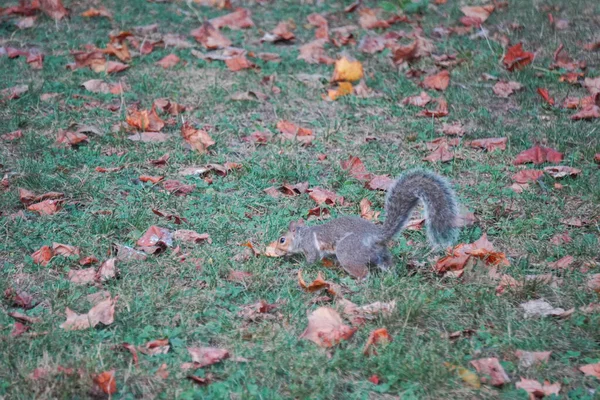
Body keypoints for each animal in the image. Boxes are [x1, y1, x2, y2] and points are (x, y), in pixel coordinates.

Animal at [274, 170, 458, 280]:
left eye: (282, 239)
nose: (275, 250)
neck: (302, 234)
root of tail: (377, 237)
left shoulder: (310, 247)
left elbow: (312, 259)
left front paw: (299, 268)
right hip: (380, 253)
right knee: (387, 264)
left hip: (347, 251)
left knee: (364, 274)